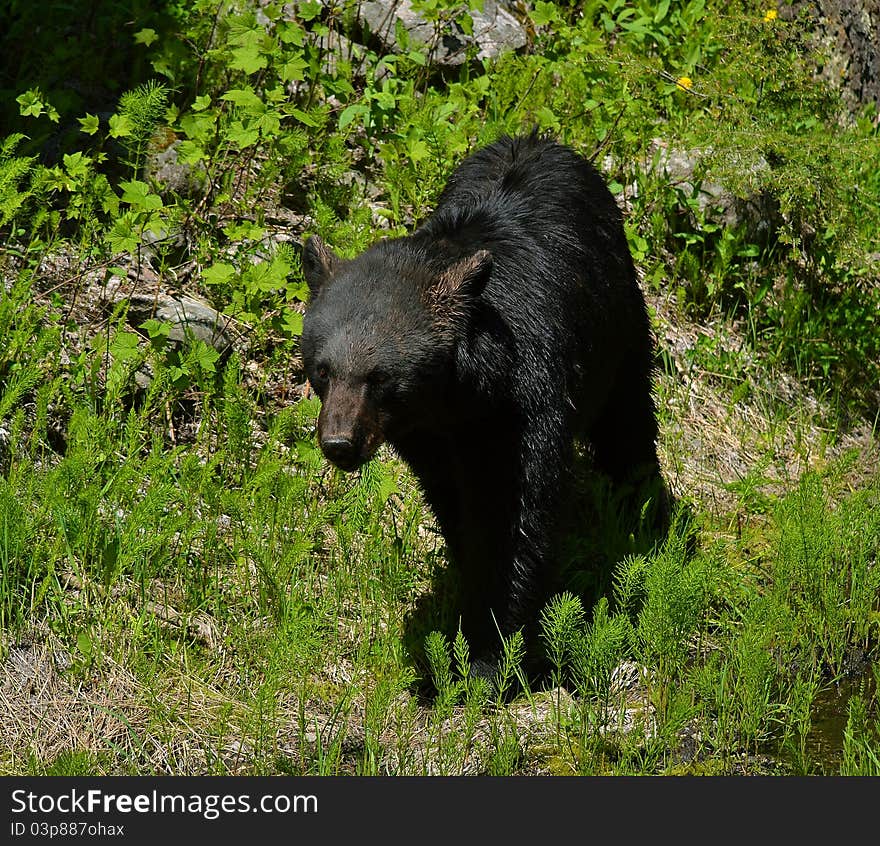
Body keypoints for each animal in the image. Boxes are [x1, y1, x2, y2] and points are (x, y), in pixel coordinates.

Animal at [300, 132, 664, 684]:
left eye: (379, 376)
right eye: (323, 369)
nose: (340, 443)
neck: (459, 400)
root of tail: (540, 140)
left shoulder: (521, 406)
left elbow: (513, 515)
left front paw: (491, 654)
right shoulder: (430, 442)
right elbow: (457, 507)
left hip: (617, 318)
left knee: (628, 418)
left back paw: (644, 509)